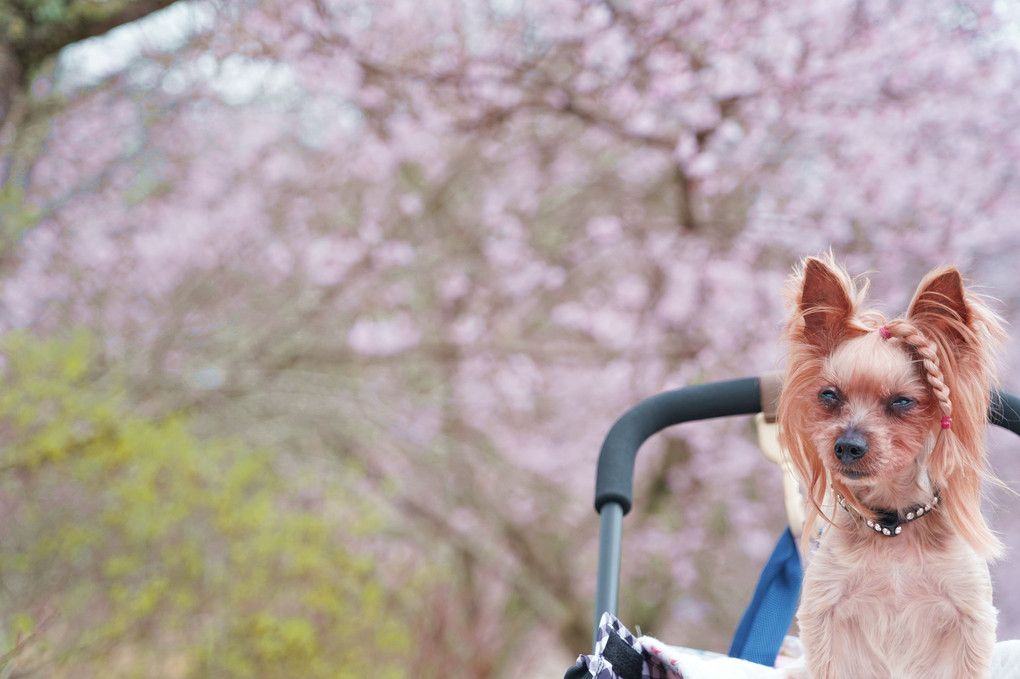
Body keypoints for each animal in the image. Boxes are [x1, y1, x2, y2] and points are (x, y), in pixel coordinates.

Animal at [775, 254, 999, 676]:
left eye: (902, 402)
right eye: (829, 395)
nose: (846, 447)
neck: (893, 524)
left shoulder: (970, 615)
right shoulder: (824, 612)